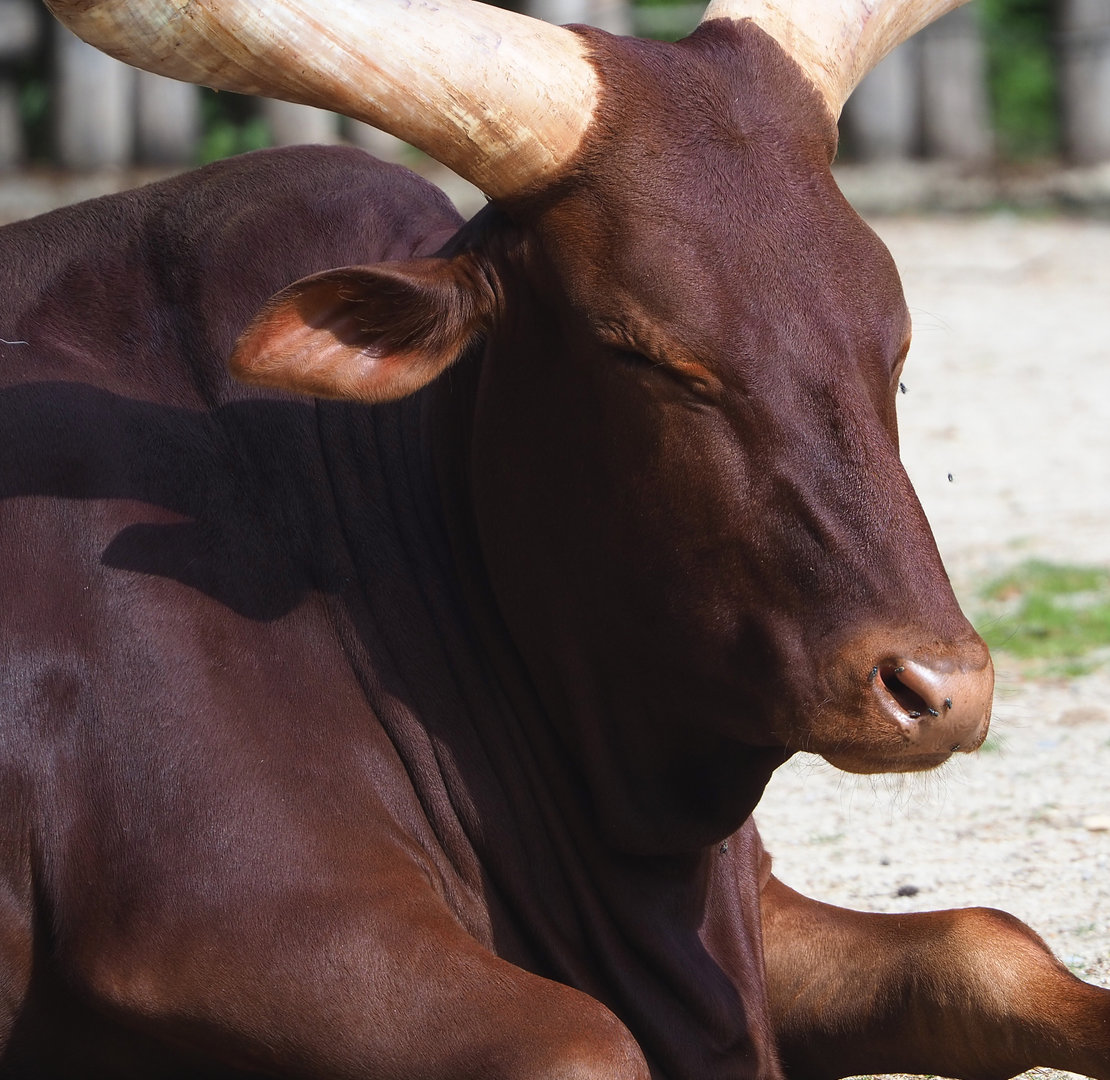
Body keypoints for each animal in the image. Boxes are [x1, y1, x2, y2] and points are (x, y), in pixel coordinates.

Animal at [0, 0, 1106, 1075]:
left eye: (896, 342)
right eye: (646, 353)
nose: (942, 691)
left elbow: (986, 949)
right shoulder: (238, 921)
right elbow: (589, 1042)